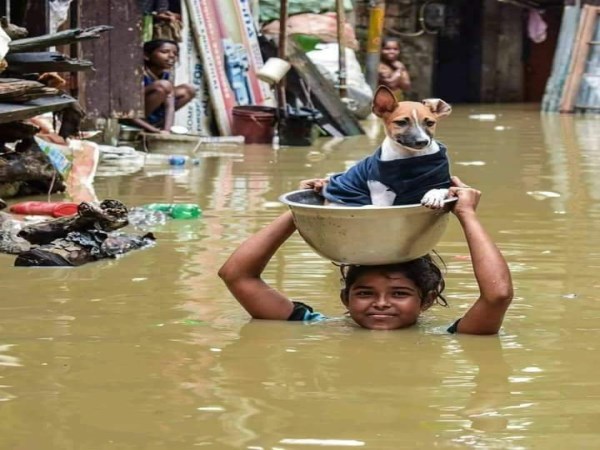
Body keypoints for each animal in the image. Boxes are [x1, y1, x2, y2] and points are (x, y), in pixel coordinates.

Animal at [322, 85, 452, 208]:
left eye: (430, 123)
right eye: (401, 123)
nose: (422, 142)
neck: (411, 156)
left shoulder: (442, 180)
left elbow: (441, 189)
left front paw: (433, 196)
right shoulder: (380, 190)